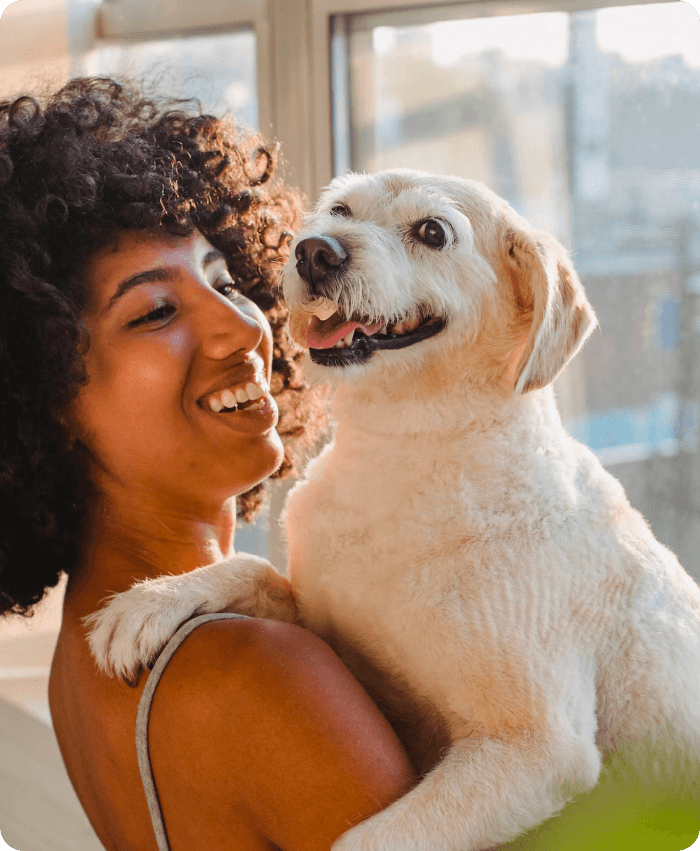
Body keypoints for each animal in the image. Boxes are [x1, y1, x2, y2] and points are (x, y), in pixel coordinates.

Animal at [87, 170, 700, 848]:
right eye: (340, 209)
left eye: (432, 231)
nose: (314, 252)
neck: (399, 457)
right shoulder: (323, 622)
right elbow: (253, 570)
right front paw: (154, 600)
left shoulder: (535, 748)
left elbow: (365, 840)